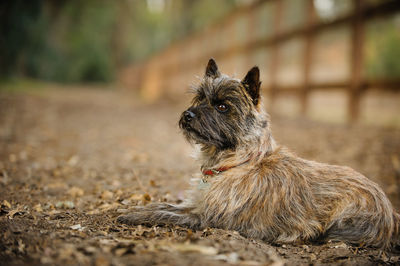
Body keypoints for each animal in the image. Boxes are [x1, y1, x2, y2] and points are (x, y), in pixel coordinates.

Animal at [117, 58, 398, 249]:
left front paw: (133, 215)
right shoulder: (196, 204)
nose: (188, 115)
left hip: (343, 220)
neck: (238, 161)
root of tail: (390, 210)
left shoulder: (205, 217)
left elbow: (166, 214)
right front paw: (137, 206)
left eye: (222, 107)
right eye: (199, 98)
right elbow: (165, 205)